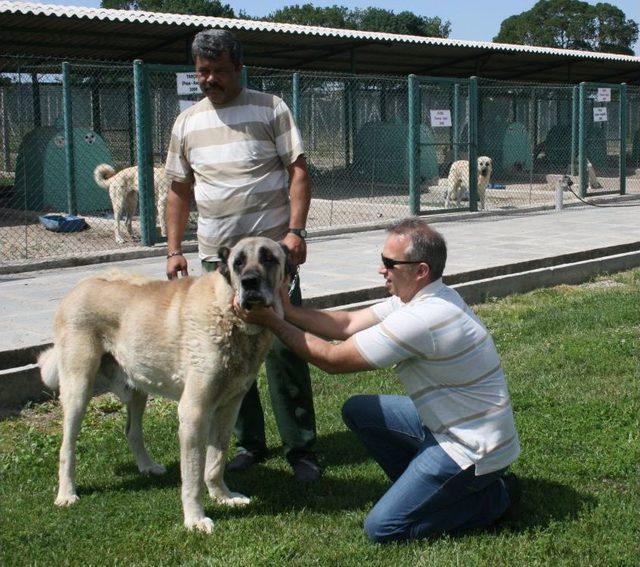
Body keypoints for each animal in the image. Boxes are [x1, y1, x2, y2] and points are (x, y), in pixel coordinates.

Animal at [38, 237, 288, 536]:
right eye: (238, 263)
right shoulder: (194, 412)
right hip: (78, 387)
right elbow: (193, 475)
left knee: (132, 431)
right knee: (67, 446)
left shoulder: (229, 408)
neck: (228, 314)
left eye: (269, 258)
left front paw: (224, 497)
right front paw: (194, 518)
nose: (250, 282)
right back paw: (66, 493)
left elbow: (215, 462)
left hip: (137, 386)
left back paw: (147, 467)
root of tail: (77, 287)